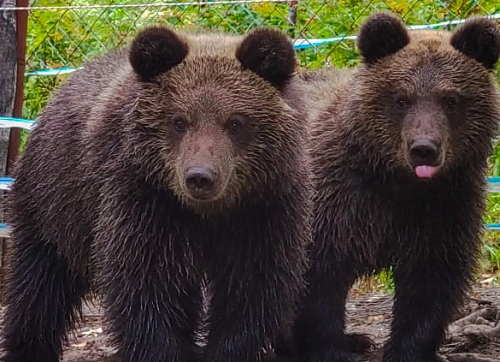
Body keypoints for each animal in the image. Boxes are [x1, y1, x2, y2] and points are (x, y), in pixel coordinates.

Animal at [282, 12, 500, 362]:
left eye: (451, 99)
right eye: (401, 99)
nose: (423, 148)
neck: (396, 184)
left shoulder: (445, 210)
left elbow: (428, 289)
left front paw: (407, 350)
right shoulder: (335, 205)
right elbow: (318, 284)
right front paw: (331, 349)